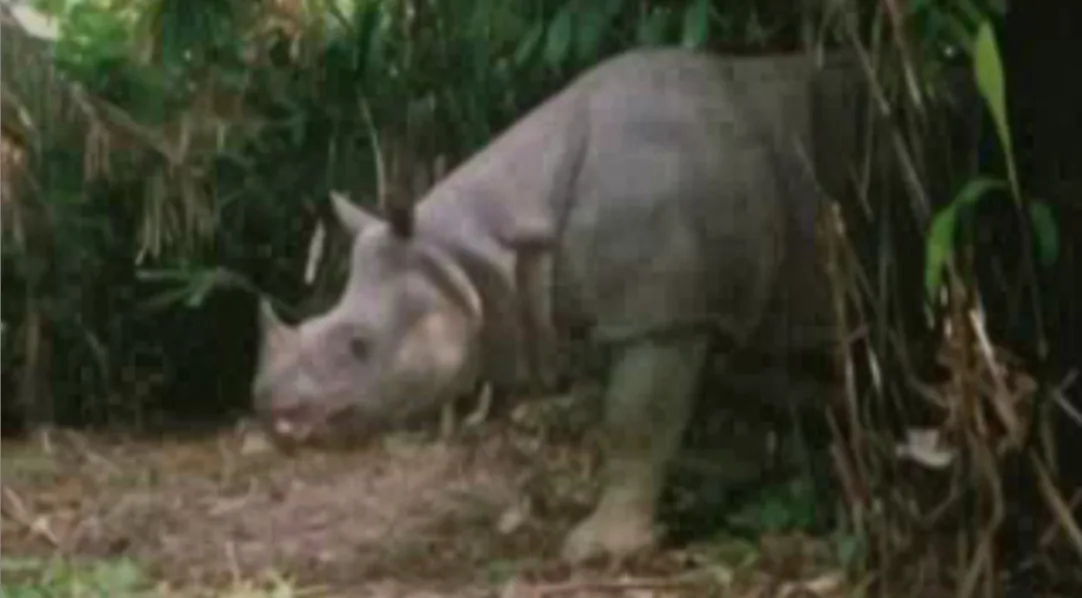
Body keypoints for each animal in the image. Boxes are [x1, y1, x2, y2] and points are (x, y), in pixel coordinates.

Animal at [252, 47, 855, 563]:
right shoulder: (689, 300)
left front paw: (599, 548)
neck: (475, 247)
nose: (270, 408)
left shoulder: (665, 315)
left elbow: (636, 419)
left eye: (359, 345)